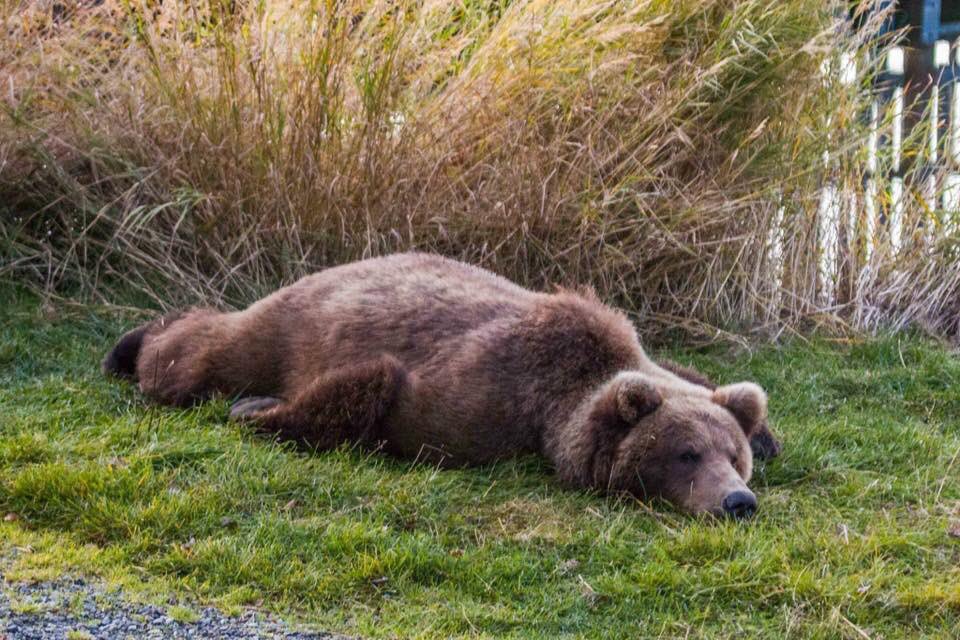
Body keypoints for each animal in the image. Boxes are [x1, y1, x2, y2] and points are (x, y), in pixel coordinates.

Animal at [103, 253, 779, 518]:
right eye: (686, 453)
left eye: (733, 456)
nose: (737, 502)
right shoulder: (474, 398)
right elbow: (370, 392)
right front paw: (257, 409)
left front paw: (767, 432)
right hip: (277, 325)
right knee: (199, 355)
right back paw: (130, 345)